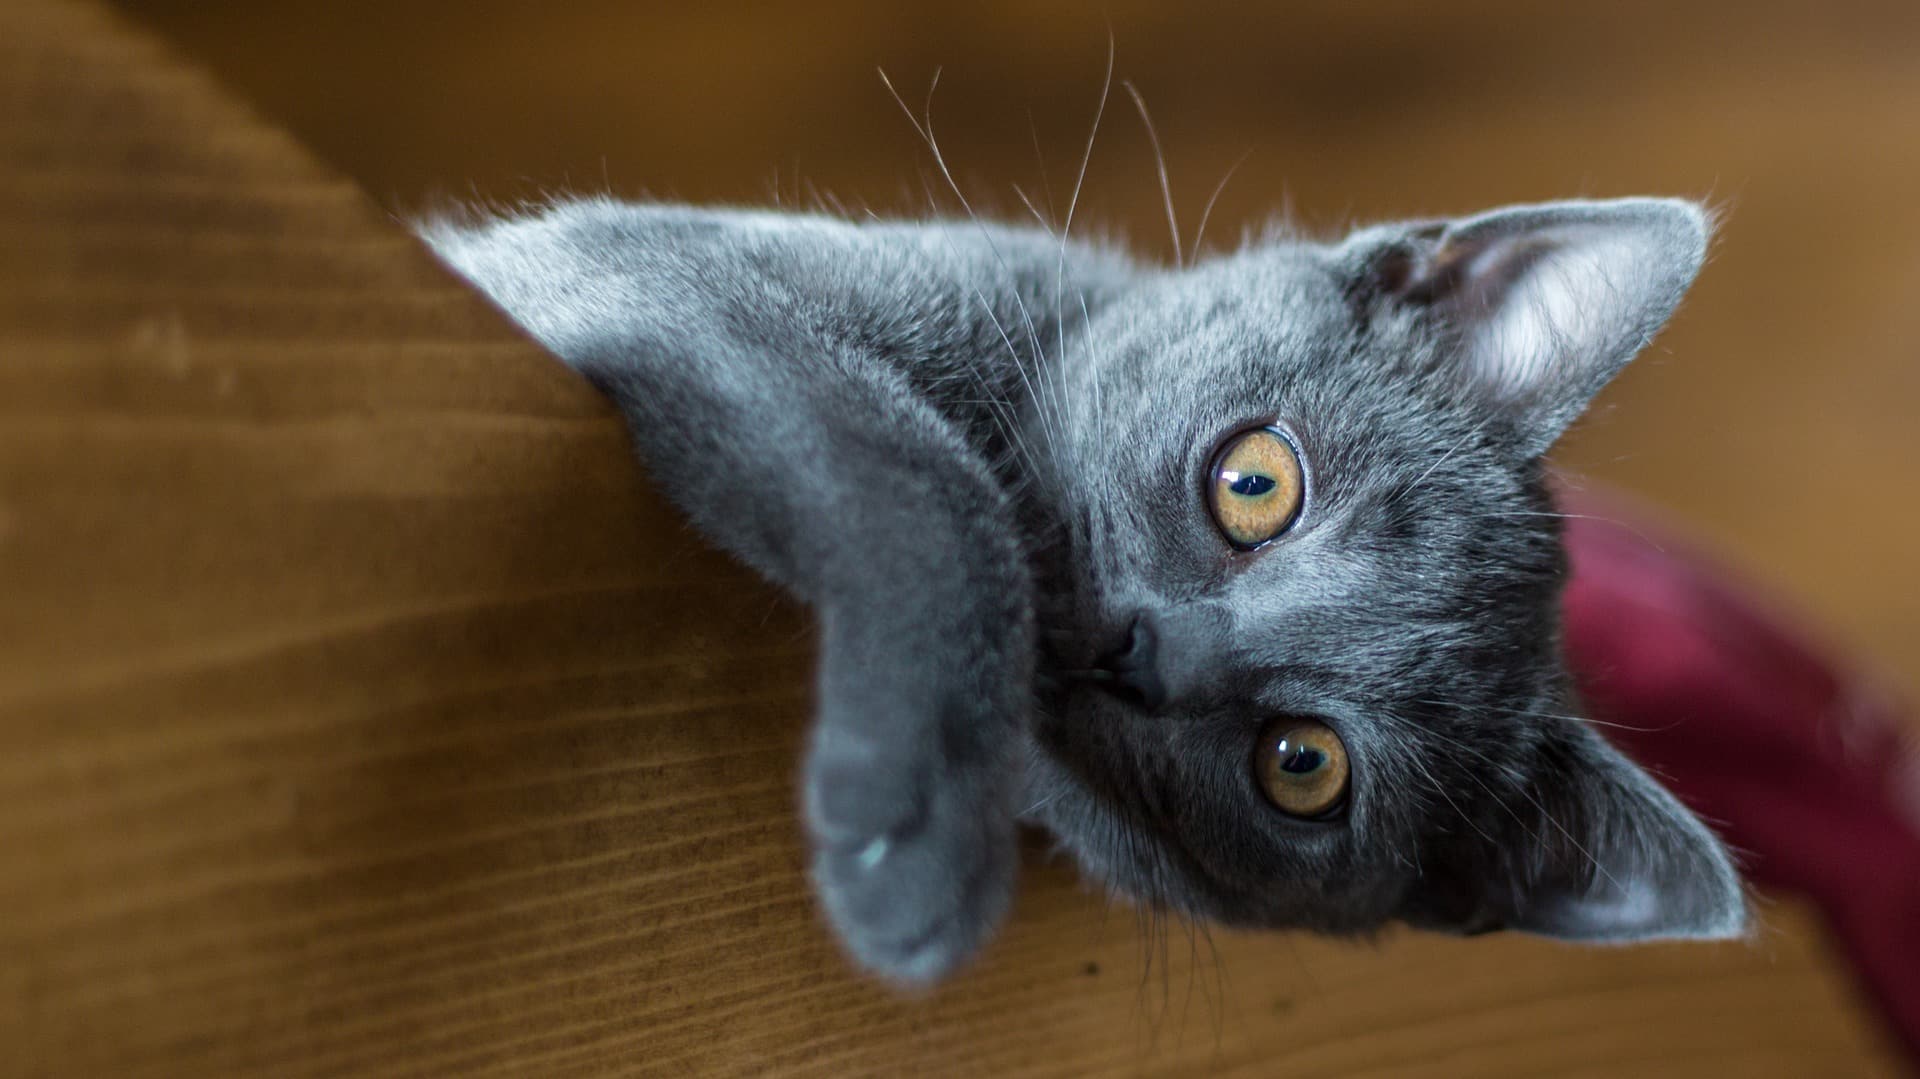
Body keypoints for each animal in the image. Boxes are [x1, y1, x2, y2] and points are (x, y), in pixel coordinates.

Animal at [424, 192, 1758, 983]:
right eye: (1257, 481)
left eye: (1304, 765)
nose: (1145, 649)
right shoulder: (655, 258)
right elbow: (917, 471)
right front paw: (920, 835)